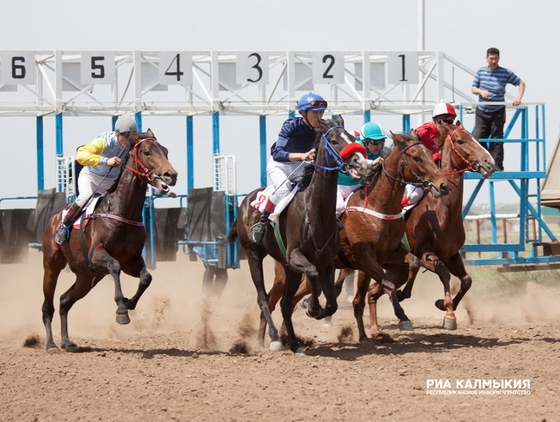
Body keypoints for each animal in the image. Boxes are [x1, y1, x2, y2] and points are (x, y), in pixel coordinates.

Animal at [41, 131, 177, 350]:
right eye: (147, 152)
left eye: (165, 151)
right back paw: (51, 343)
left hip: (87, 277)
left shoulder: (131, 260)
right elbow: (114, 266)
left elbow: (146, 277)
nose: (171, 175)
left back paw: (66, 341)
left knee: (64, 301)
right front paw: (121, 310)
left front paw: (129, 303)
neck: (122, 210)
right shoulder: (96, 254)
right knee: (48, 305)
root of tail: (53, 217)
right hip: (52, 265)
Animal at [230, 115, 374, 352]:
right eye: (334, 141)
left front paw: (317, 310)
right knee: (263, 298)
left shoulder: (326, 261)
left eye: (353, 138)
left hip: (288, 268)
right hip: (253, 254)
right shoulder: (295, 256)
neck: (313, 213)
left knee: (285, 303)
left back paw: (295, 343)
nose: (360, 163)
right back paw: (274, 338)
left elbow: (332, 303)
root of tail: (245, 202)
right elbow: (312, 274)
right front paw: (312, 308)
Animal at [258, 130, 450, 344]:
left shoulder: (391, 252)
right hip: (285, 271)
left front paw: (402, 296)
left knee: (293, 299)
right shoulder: (365, 257)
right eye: (416, 157)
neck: (377, 206)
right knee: (274, 299)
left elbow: (414, 263)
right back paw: (269, 338)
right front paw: (402, 317)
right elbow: (386, 284)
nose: (443, 185)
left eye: (430, 154)